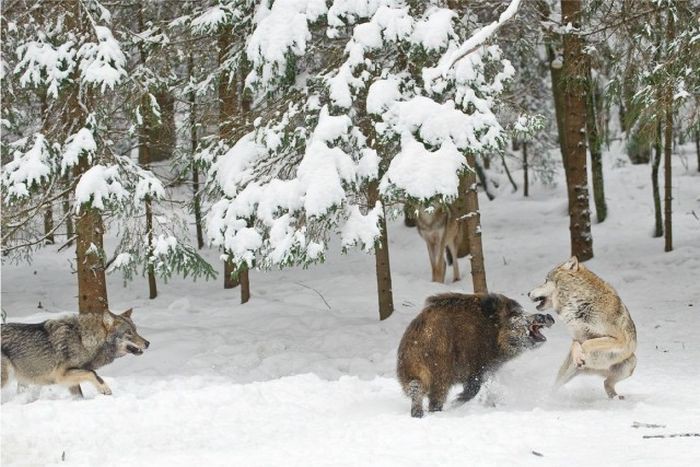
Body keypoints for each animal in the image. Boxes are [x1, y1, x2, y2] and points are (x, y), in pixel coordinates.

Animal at [1, 310, 149, 398]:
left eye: (136, 330)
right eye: (129, 332)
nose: (148, 343)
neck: (82, 339)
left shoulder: (71, 380)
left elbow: (79, 395)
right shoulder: (61, 375)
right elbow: (93, 373)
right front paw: (104, 389)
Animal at [400, 294, 552, 418]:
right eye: (514, 314)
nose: (548, 316)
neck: (493, 332)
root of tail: (423, 335)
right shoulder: (478, 366)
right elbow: (473, 388)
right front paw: (456, 402)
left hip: (412, 369)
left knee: (416, 387)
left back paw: (418, 414)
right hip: (440, 372)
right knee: (435, 397)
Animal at [528, 258, 636, 400]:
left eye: (546, 280)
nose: (528, 293)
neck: (578, 305)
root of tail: (595, 370)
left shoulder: (619, 340)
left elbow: (588, 342)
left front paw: (581, 355)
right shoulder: (576, 336)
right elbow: (576, 344)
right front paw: (578, 356)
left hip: (631, 363)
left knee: (606, 382)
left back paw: (616, 398)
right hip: (566, 374)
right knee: (557, 386)